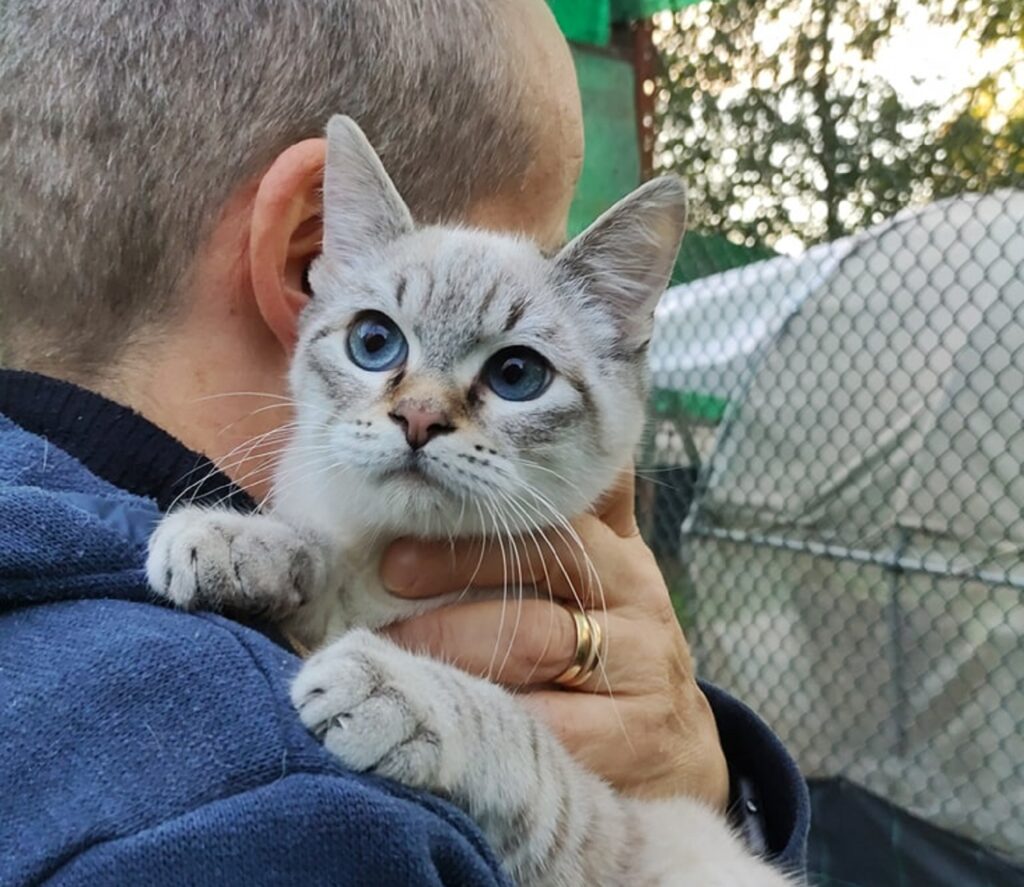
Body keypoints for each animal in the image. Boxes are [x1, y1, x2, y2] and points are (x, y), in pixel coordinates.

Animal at [148, 115, 794, 884]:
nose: (419, 418)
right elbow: (316, 549)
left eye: (517, 375)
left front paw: (396, 688)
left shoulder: (622, 841)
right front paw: (228, 539)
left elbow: (519, 737)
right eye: (375, 341)